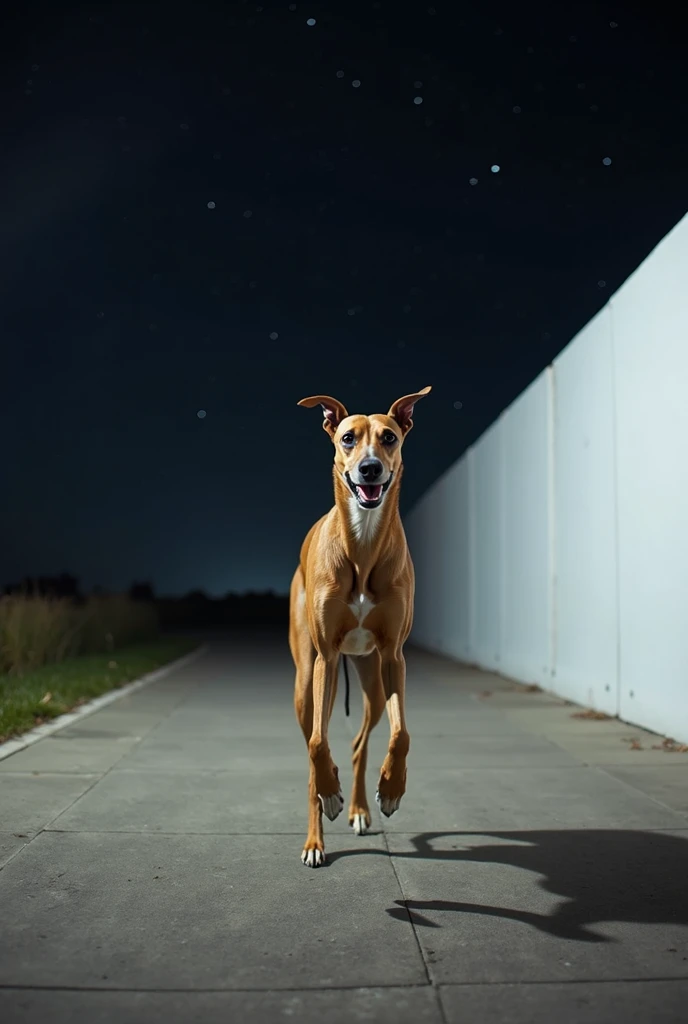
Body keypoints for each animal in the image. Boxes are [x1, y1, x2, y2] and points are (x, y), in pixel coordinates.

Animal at [288, 385, 430, 864]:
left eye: (389, 437)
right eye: (348, 438)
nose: (370, 468)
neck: (363, 544)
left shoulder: (394, 657)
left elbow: (402, 734)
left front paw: (392, 789)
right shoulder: (326, 658)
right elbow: (317, 745)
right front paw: (329, 795)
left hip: (372, 682)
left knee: (357, 744)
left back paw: (359, 809)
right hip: (307, 682)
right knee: (313, 750)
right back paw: (317, 835)